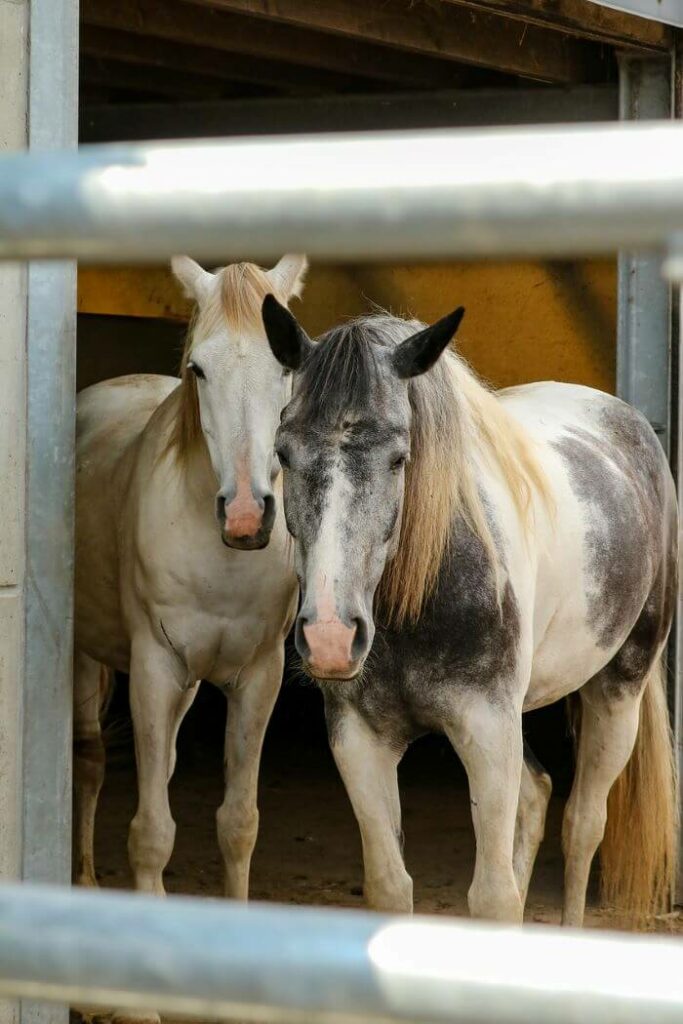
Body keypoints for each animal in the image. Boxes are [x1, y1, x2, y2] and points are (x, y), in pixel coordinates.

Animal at [72, 256, 305, 905]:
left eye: (288, 363)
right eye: (199, 368)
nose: (247, 516)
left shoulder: (258, 678)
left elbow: (239, 824)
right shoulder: (154, 669)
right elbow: (151, 833)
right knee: (90, 758)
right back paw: (84, 877)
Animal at [262, 296, 679, 929]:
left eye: (399, 458)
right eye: (284, 452)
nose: (331, 636)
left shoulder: (486, 729)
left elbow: (493, 896)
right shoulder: (359, 741)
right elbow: (390, 886)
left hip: (618, 692)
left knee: (584, 825)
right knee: (537, 795)